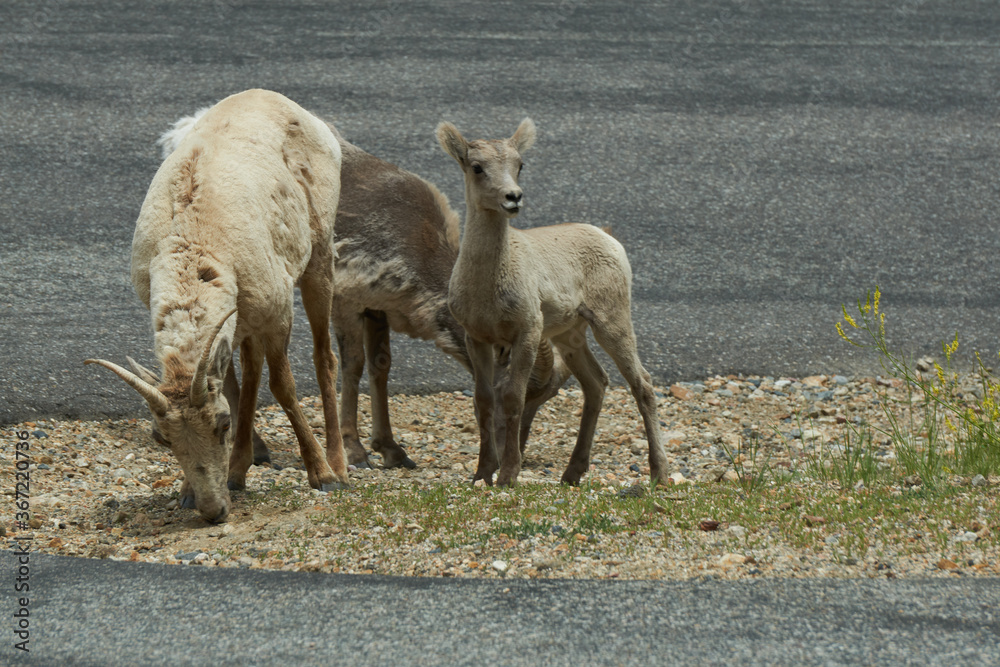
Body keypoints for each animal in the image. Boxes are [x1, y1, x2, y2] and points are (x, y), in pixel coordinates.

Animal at [87, 89, 349, 522]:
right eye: (161, 438)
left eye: (221, 425)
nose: (212, 511)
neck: (195, 244)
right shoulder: (235, 321)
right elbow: (233, 383)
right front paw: (191, 491)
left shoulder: (278, 315)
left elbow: (283, 386)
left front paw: (323, 477)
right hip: (245, 319)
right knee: (249, 371)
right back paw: (242, 467)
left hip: (320, 256)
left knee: (324, 356)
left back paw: (340, 465)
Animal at [436, 118, 671, 487]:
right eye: (476, 167)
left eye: (520, 164)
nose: (513, 197)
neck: (489, 285)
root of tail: (610, 239)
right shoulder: (478, 338)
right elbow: (484, 400)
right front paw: (481, 474)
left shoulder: (528, 332)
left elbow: (513, 398)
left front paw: (508, 475)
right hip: (569, 336)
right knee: (596, 384)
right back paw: (572, 474)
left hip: (611, 321)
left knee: (642, 384)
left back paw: (659, 473)